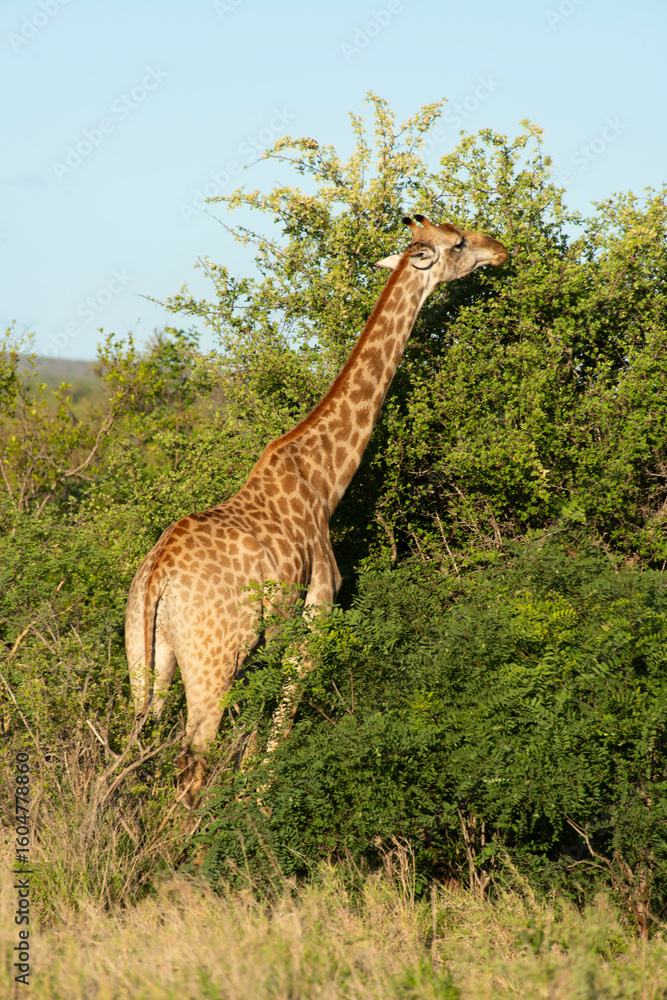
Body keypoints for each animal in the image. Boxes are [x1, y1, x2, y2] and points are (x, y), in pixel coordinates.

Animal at [125, 214, 507, 806]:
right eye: (459, 242)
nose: (502, 251)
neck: (326, 482)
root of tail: (159, 575)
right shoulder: (318, 606)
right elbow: (283, 714)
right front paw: (260, 802)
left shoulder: (269, 636)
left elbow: (258, 720)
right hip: (212, 661)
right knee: (193, 757)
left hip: (146, 656)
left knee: (137, 745)